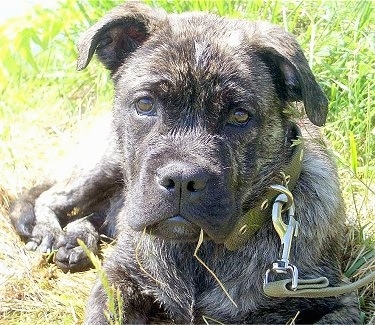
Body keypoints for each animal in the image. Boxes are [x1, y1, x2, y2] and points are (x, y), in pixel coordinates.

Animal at [9, 1, 362, 322]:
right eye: (145, 104)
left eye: (239, 116)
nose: (181, 180)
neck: (197, 251)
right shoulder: (118, 281)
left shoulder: (335, 300)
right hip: (105, 163)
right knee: (52, 196)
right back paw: (53, 233)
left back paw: (76, 241)